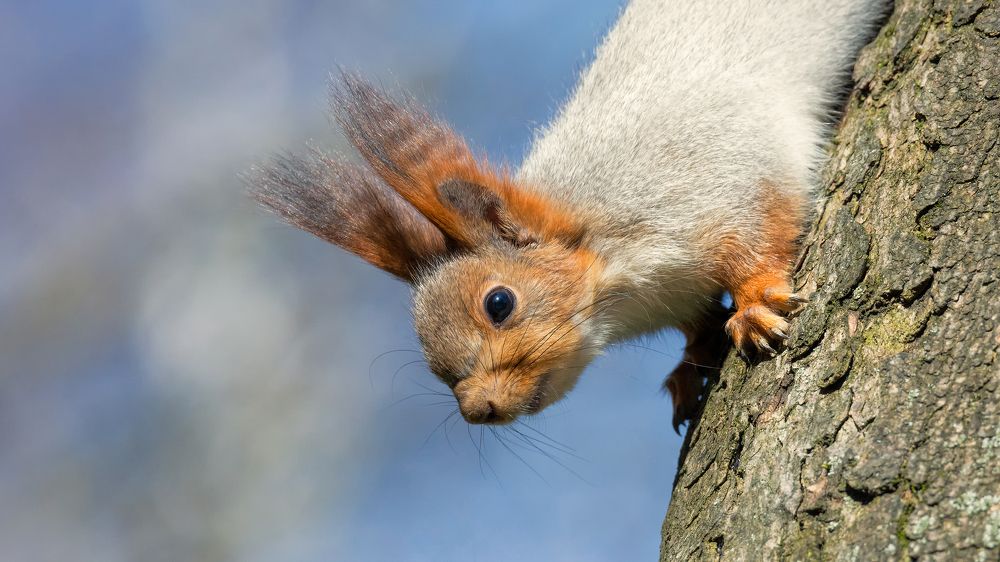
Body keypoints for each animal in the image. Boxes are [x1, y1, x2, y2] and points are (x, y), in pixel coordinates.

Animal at [250, 0, 885, 431]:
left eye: (499, 303)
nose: (478, 411)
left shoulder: (721, 174)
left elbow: (760, 233)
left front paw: (753, 306)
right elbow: (695, 324)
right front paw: (689, 364)